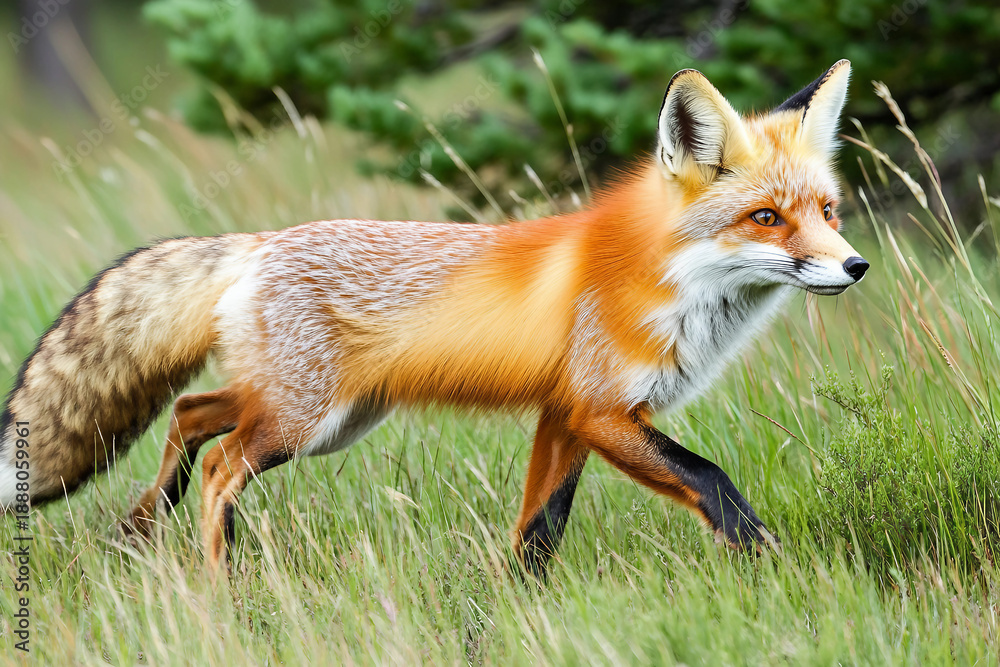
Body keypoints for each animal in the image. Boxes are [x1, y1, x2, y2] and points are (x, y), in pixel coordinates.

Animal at [0, 60, 867, 576]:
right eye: (766, 218)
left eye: (827, 211)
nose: (854, 266)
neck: (663, 283)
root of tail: (260, 242)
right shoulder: (600, 408)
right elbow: (711, 478)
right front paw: (775, 564)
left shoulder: (567, 416)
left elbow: (540, 528)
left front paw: (520, 606)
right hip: (302, 421)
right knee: (217, 463)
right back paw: (221, 581)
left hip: (324, 414)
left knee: (189, 410)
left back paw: (142, 527)